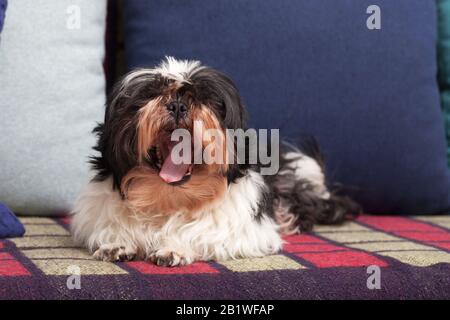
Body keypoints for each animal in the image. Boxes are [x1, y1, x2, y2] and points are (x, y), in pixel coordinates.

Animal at [70, 57, 360, 264]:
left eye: (206, 99)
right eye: (148, 95)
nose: (177, 104)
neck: (169, 198)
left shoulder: (244, 232)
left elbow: (198, 233)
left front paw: (173, 248)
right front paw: (117, 243)